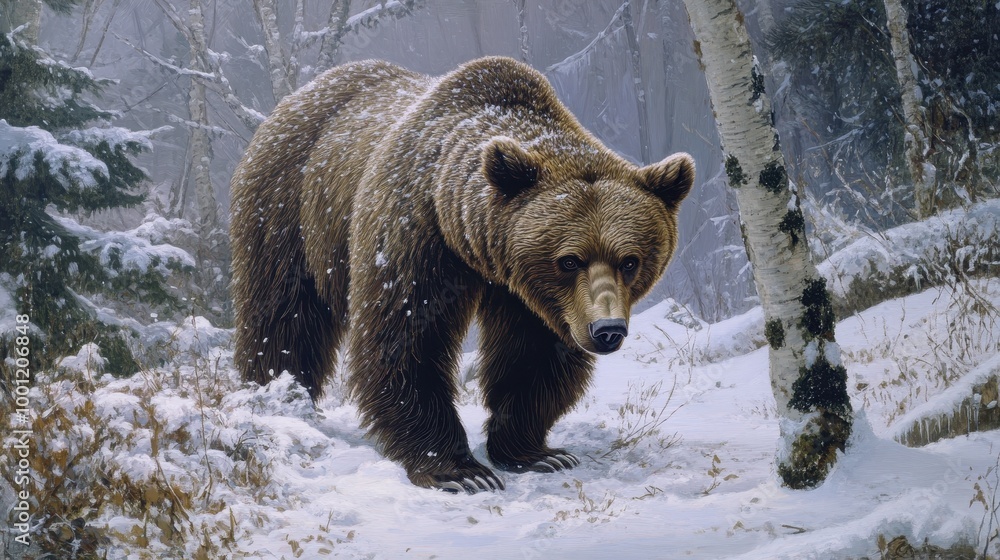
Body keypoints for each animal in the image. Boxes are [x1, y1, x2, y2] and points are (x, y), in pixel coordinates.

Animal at [230, 56, 694, 494]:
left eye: (630, 261)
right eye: (569, 260)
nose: (607, 330)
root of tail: (297, 98)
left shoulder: (530, 292)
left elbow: (534, 354)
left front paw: (535, 452)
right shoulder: (413, 234)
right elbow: (407, 339)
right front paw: (460, 471)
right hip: (288, 208)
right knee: (284, 316)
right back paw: (279, 398)